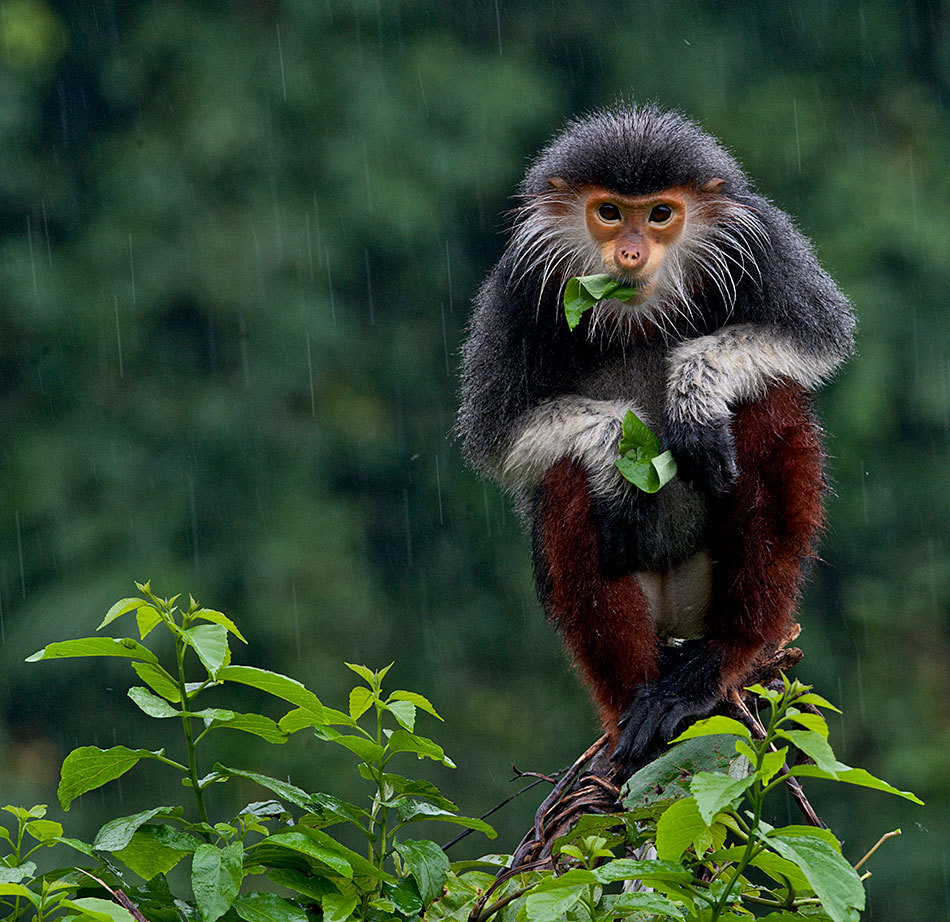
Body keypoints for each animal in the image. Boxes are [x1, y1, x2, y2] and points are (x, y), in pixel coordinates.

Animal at [458, 102, 860, 776]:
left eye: (660, 214)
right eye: (609, 211)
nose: (629, 251)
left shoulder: (766, 241)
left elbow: (820, 338)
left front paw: (693, 394)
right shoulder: (516, 288)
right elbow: (495, 434)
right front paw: (614, 447)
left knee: (766, 404)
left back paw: (715, 665)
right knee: (568, 480)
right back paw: (637, 711)